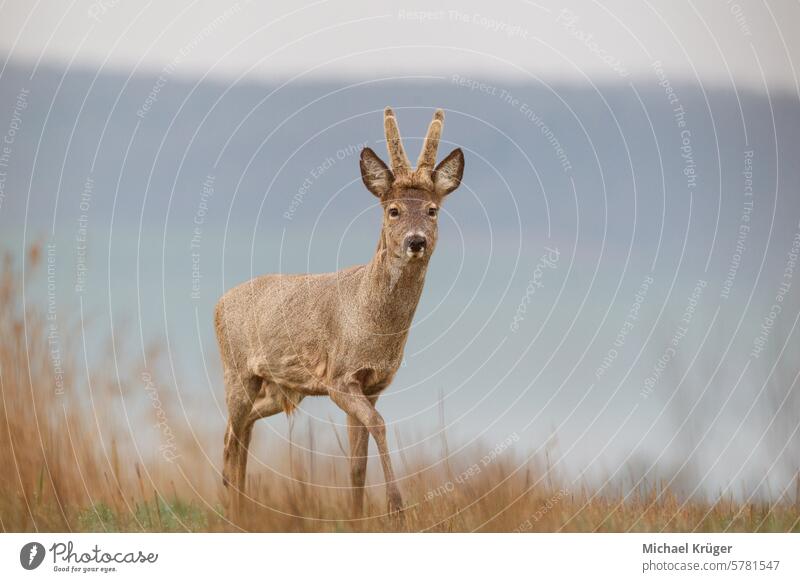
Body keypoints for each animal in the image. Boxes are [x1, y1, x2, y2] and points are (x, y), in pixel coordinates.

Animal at [216, 107, 466, 516]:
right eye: (393, 210)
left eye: (432, 210)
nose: (416, 241)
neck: (368, 319)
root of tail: (219, 303)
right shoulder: (339, 377)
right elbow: (379, 425)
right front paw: (396, 507)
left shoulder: (373, 385)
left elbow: (357, 465)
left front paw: (358, 517)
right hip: (236, 373)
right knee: (232, 439)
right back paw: (234, 512)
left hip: (281, 389)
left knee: (240, 433)